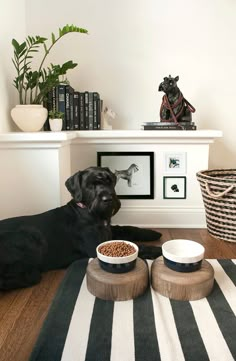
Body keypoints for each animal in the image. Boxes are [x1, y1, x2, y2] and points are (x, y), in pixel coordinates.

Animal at [0, 167, 162, 290]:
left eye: (109, 181)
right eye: (90, 185)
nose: (108, 199)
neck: (88, 211)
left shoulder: (108, 233)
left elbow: (127, 228)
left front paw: (151, 233)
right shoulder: (95, 245)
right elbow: (141, 248)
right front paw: (159, 250)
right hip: (31, 235)